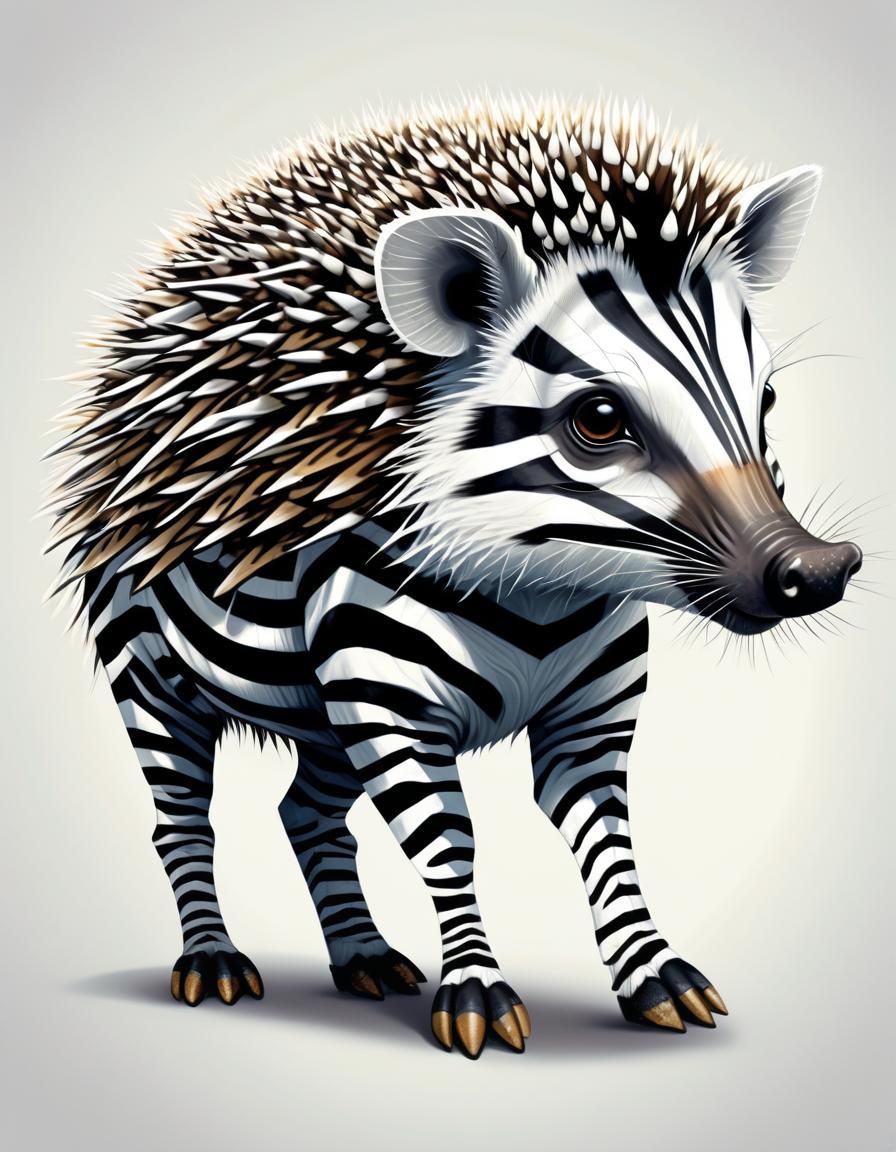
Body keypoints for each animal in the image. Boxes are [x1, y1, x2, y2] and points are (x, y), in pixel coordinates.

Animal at [50, 103, 862, 1060]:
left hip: (323, 717)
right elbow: (450, 842)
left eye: (766, 402)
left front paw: (654, 976)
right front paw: (474, 991)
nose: (816, 571)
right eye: (598, 421)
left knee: (306, 814)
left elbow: (608, 839)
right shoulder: (389, 700)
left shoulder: (589, 713)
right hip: (151, 674)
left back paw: (363, 956)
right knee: (180, 815)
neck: (541, 591)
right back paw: (212, 962)